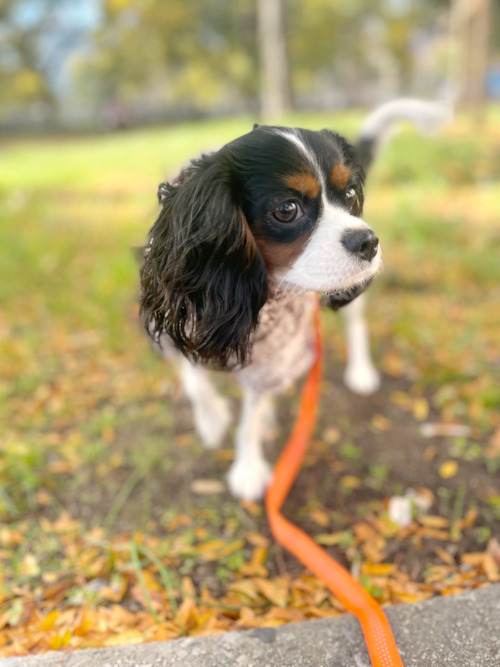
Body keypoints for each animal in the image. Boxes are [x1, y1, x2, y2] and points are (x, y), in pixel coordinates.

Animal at [140, 98, 450, 500]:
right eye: (286, 210)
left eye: (351, 195)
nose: (368, 241)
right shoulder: (173, 316)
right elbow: (193, 377)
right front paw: (212, 419)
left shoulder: (273, 359)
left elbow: (250, 414)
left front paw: (248, 467)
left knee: (355, 322)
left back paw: (360, 371)